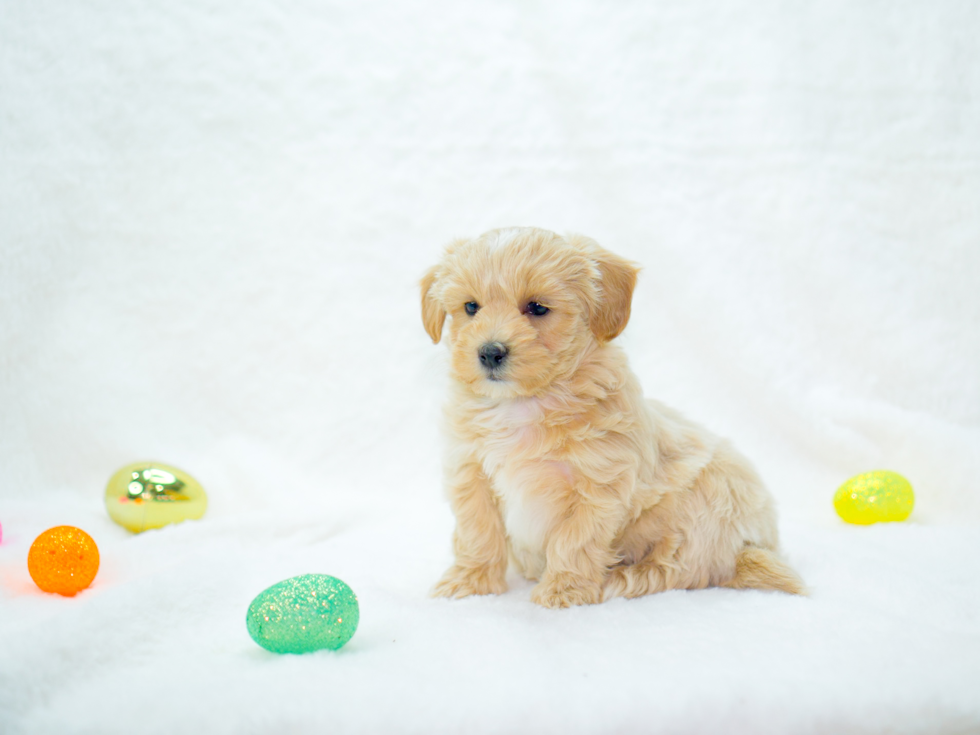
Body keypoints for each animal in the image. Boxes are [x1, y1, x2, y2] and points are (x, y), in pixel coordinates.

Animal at [422, 227, 804, 608]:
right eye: (471, 307)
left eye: (538, 307)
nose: (489, 352)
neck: (524, 403)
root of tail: (751, 548)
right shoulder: (470, 474)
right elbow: (478, 532)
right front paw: (470, 581)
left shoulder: (597, 486)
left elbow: (574, 541)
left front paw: (563, 590)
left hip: (703, 514)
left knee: (676, 569)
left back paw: (618, 579)